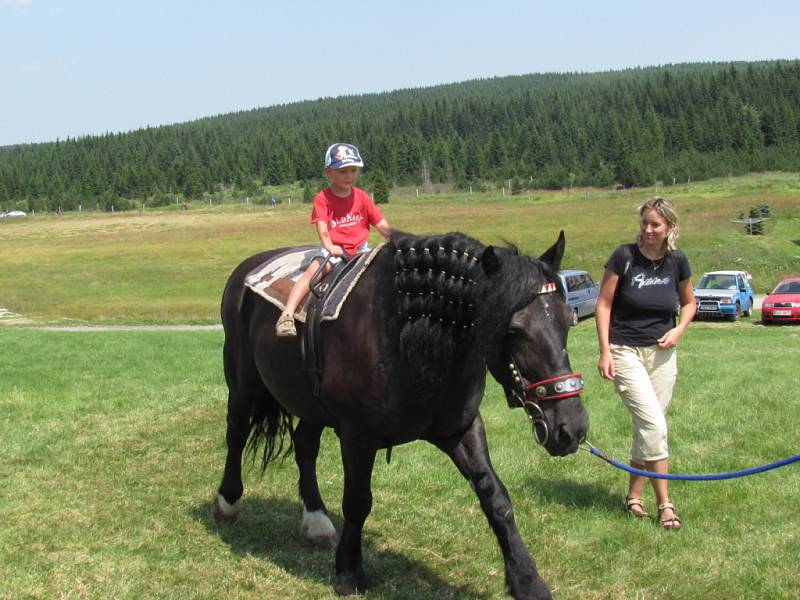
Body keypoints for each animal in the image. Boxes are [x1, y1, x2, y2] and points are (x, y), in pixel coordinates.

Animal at [216, 231, 592, 600]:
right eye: (514, 330)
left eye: (568, 320)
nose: (571, 428)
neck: (407, 339)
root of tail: (248, 267)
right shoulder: (357, 436)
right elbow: (358, 502)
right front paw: (349, 572)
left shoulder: (462, 429)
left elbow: (496, 498)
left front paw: (528, 580)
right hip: (243, 382)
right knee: (236, 433)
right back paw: (228, 501)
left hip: (311, 402)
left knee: (304, 446)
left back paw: (316, 521)